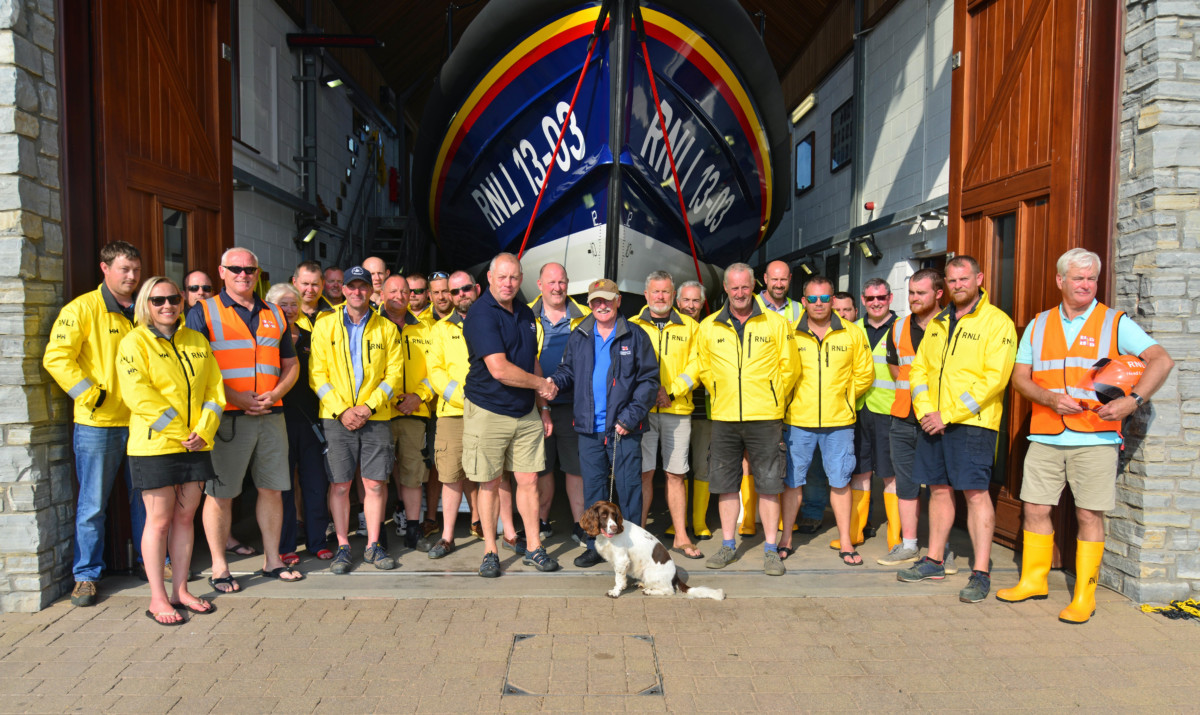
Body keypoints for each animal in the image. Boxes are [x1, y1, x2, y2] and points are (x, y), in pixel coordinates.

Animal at [578, 499, 724, 599]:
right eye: (603, 515)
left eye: (614, 515)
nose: (614, 528)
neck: (608, 537)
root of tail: (675, 576)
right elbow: (621, 578)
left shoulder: (621, 560)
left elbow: (618, 579)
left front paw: (615, 592)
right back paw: (643, 584)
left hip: (650, 572)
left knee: (669, 590)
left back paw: (649, 590)